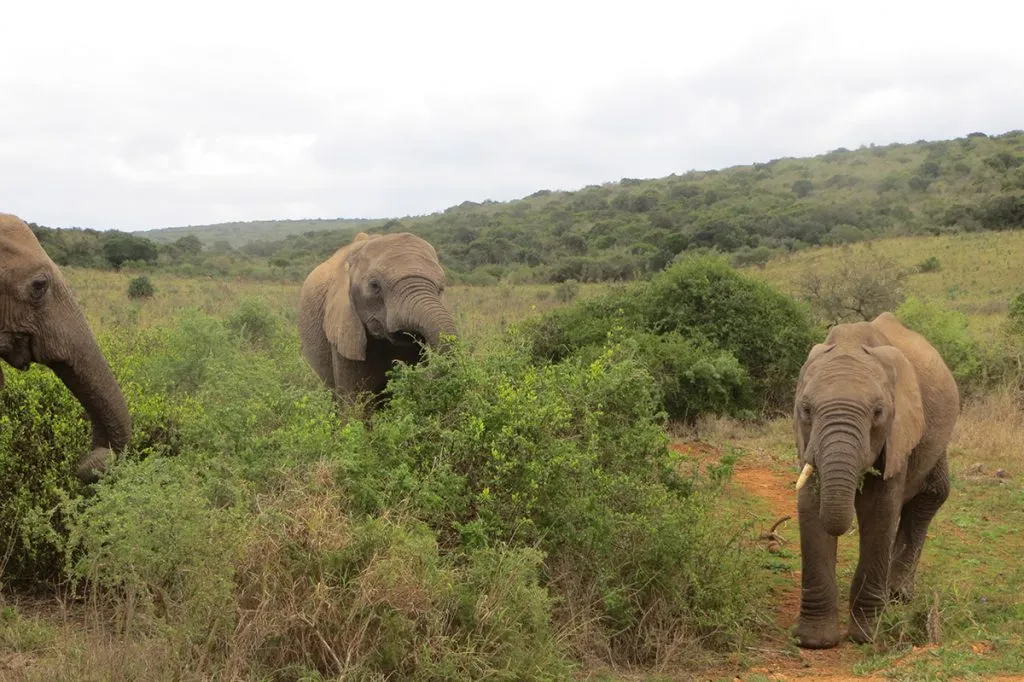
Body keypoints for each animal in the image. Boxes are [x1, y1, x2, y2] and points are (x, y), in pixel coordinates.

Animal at [792, 312, 959, 648]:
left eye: (879, 412)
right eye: (806, 409)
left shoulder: (898, 432)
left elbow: (880, 511)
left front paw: (866, 636)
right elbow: (810, 505)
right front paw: (815, 641)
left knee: (931, 496)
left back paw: (895, 597)